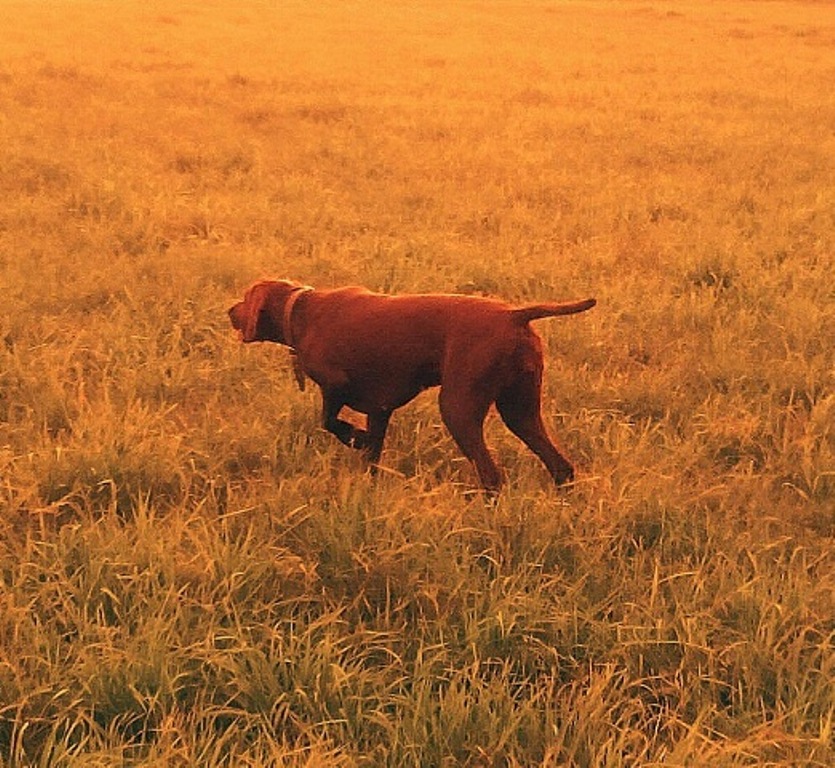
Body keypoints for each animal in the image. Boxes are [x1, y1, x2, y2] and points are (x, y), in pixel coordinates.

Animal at [228, 280, 595, 492]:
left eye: (246, 299)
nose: (229, 310)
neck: (300, 310)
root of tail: (515, 315)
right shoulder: (379, 408)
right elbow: (371, 456)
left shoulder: (335, 386)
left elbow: (329, 422)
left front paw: (354, 437)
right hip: (520, 412)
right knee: (562, 468)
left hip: (458, 408)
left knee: (492, 476)